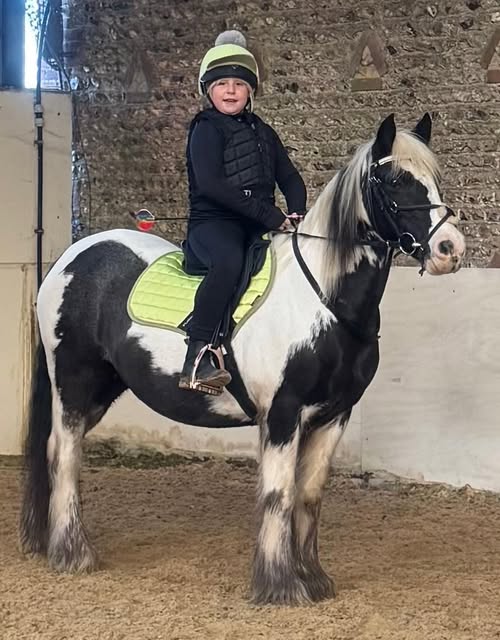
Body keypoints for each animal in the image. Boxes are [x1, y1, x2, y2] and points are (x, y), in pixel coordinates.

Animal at [20, 113, 466, 605]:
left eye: (434, 178)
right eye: (394, 181)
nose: (450, 249)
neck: (322, 299)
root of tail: (71, 257)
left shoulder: (334, 414)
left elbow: (309, 494)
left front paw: (314, 578)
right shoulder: (283, 413)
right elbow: (278, 493)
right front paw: (281, 585)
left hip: (103, 388)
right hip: (73, 382)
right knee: (64, 454)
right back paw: (73, 553)